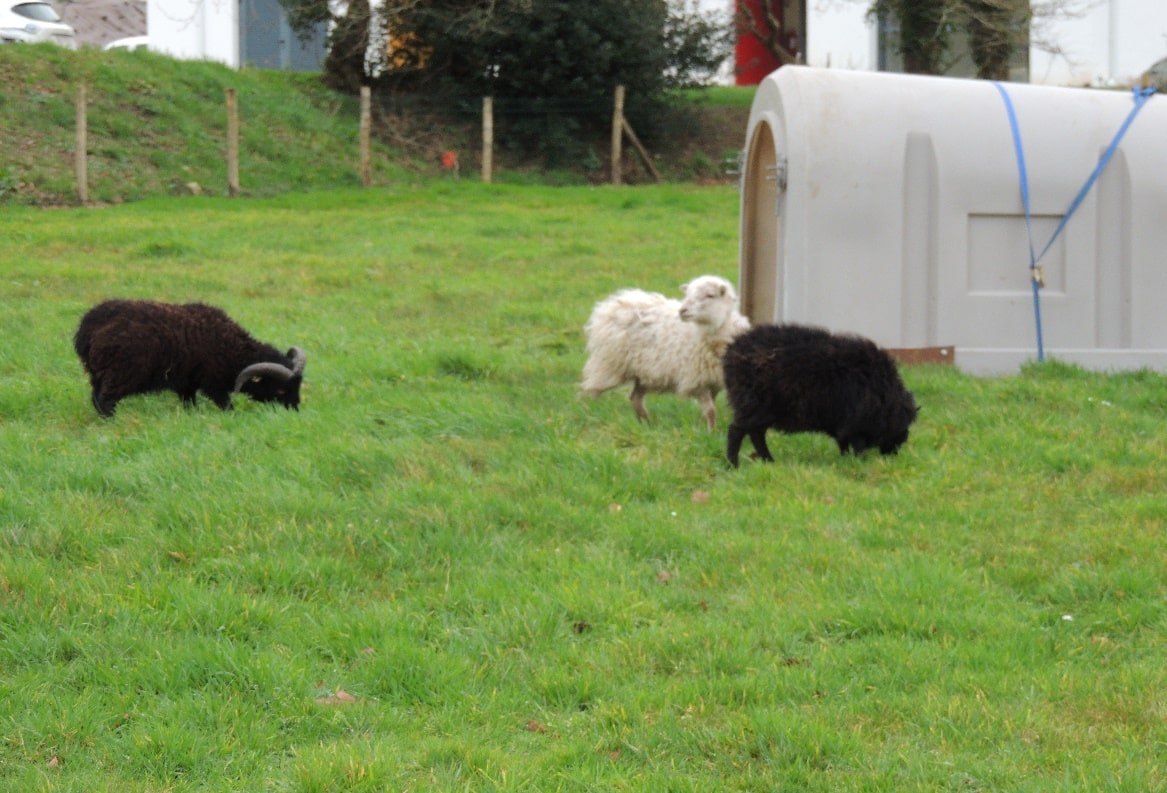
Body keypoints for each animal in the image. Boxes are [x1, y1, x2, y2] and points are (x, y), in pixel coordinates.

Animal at [72, 298, 305, 422]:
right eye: (281, 390)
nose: (295, 411)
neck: (235, 350)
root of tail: (87, 328)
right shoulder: (213, 384)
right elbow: (227, 406)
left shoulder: (187, 384)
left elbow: (189, 404)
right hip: (119, 373)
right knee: (105, 401)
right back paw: (112, 423)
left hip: (98, 373)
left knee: (96, 398)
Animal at [581, 275, 746, 431]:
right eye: (687, 294)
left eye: (710, 295)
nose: (682, 311)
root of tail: (613, 303)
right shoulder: (696, 380)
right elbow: (711, 411)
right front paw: (710, 432)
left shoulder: (713, 381)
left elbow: (710, 409)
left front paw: (705, 428)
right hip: (610, 366)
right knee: (592, 392)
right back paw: (588, 413)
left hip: (644, 372)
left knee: (635, 398)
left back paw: (646, 425)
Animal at [718, 321, 919, 464]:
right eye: (902, 425)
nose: (894, 454)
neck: (885, 398)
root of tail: (731, 352)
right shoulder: (856, 424)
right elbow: (857, 445)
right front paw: (860, 462)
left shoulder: (843, 424)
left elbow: (843, 443)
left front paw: (847, 460)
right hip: (753, 405)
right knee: (736, 431)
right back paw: (733, 464)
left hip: (760, 410)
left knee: (755, 434)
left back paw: (768, 461)